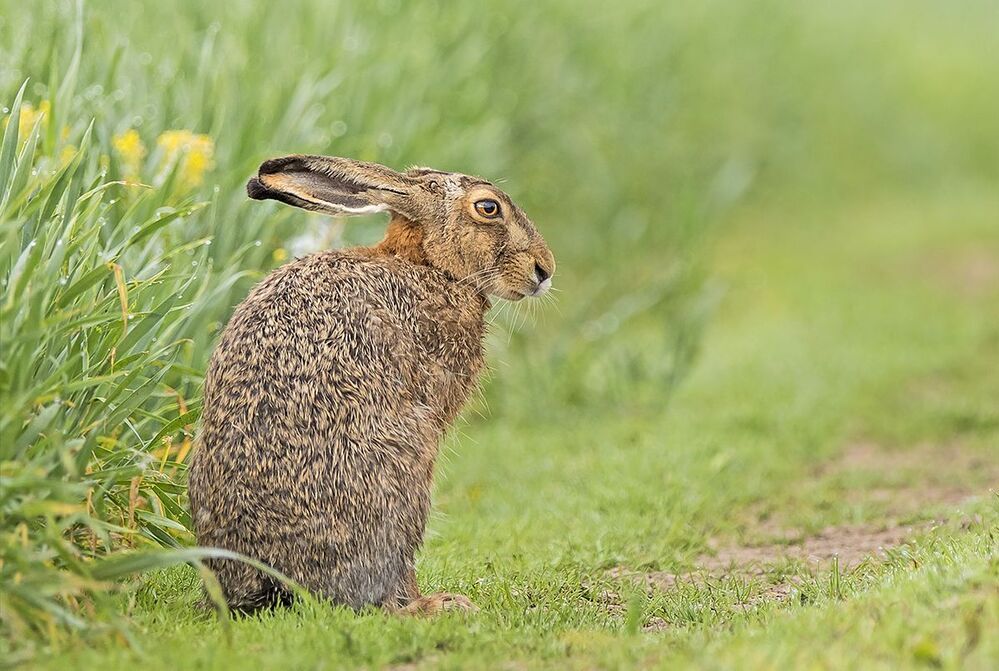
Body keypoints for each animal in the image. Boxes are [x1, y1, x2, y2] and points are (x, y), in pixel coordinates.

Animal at [188, 154, 555, 615]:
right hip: (405, 471)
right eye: (488, 208)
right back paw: (434, 605)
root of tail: (265, 581)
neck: (427, 266)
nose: (545, 269)